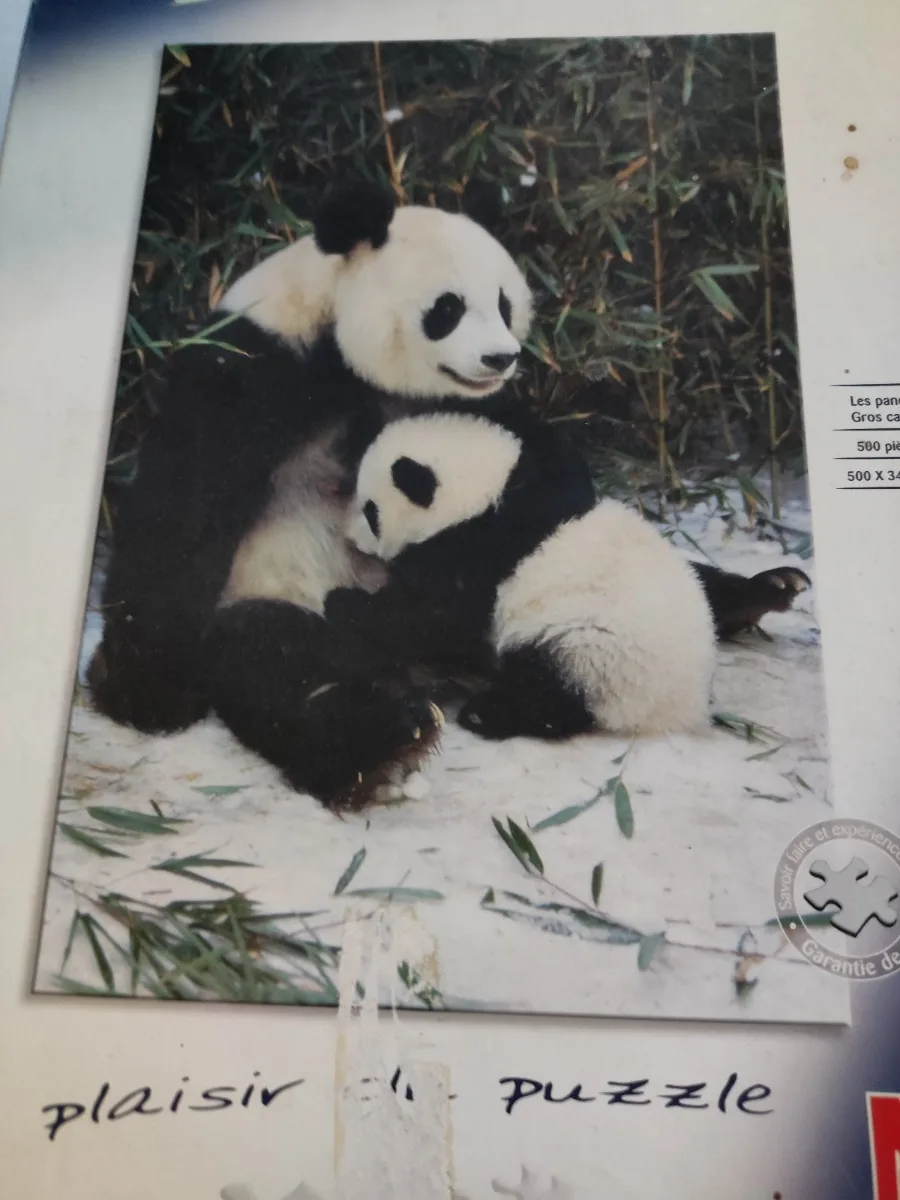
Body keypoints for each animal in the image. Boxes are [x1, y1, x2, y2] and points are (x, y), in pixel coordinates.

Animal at [337, 410, 718, 742]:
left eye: (371, 512)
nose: (349, 535)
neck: (480, 494)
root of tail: (684, 708)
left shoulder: (475, 552)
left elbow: (436, 615)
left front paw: (348, 605)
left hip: (592, 653)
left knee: (551, 690)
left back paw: (486, 713)